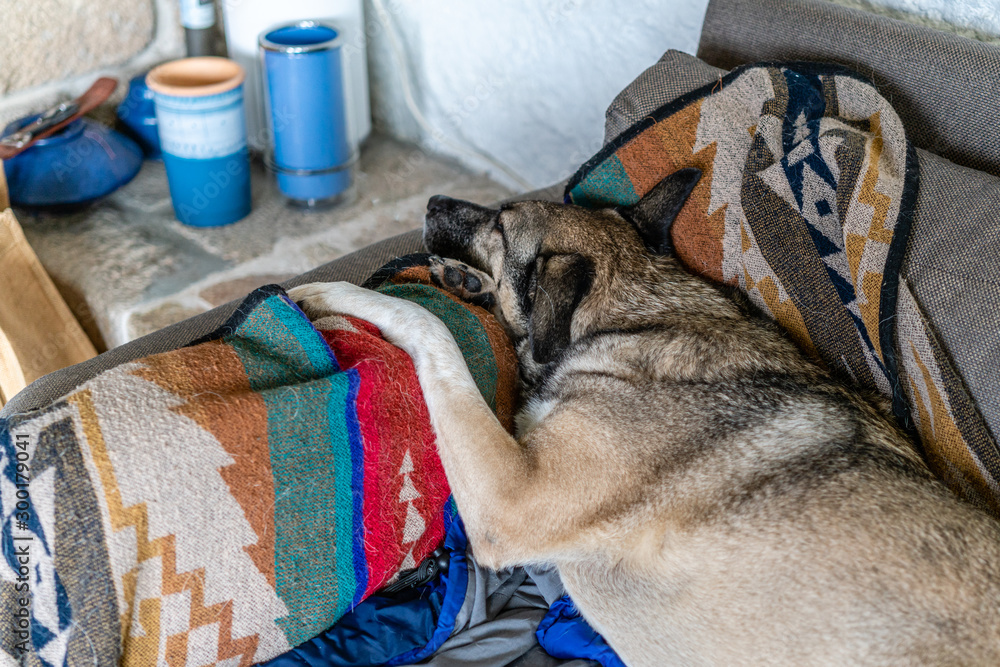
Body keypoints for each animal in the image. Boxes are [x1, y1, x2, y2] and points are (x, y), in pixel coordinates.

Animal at [288, 172, 1000, 667]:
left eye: (502, 222)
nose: (433, 199)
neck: (634, 313)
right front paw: (463, 282)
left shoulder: (512, 500)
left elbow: (430, 331)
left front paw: (337, 294)